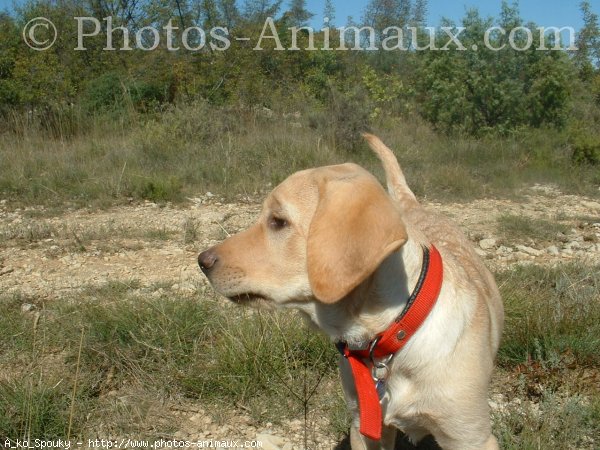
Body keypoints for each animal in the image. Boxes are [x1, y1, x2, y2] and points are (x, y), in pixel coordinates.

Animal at [199, 134, 504, 450]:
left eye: (278, 221)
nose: (202, 261)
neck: (393, 334)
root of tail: (414, 206)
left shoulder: (471, 437)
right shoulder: (364, 427)